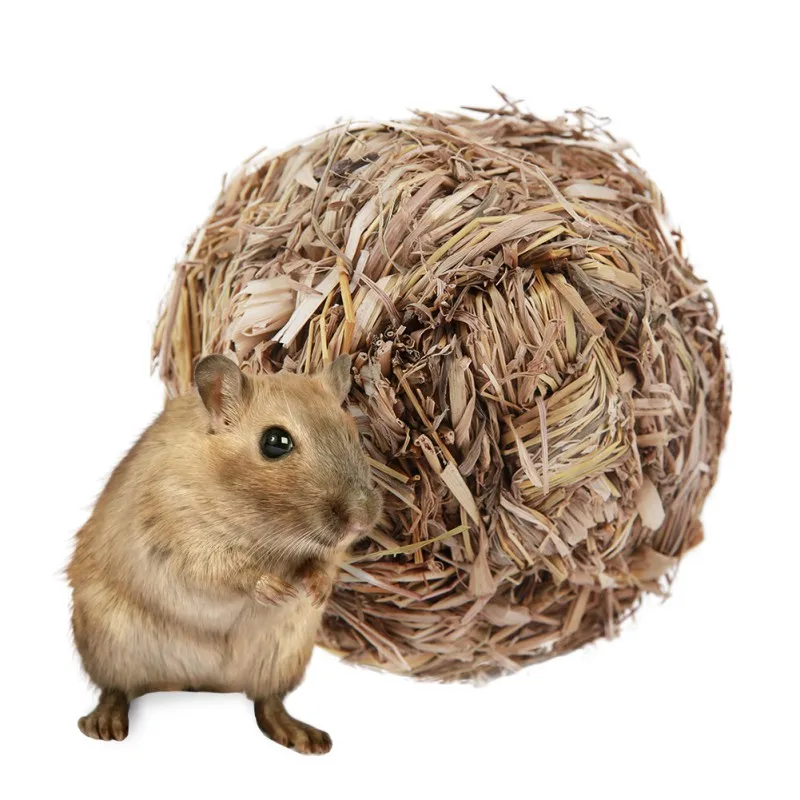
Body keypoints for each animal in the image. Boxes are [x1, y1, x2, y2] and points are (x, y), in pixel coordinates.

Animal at [67, 353, 382, 754]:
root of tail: (198, 684)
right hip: (108, 644)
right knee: (116, 690)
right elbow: (229, 573)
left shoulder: (328, 553)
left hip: (283, 657)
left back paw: (305, 737)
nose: (362, 521)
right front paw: (276, 589)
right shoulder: (181, 539)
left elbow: (324, 563)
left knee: (267, 702)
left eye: (352, 433)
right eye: (275, 442)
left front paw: (315, 591)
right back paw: (103, 725)